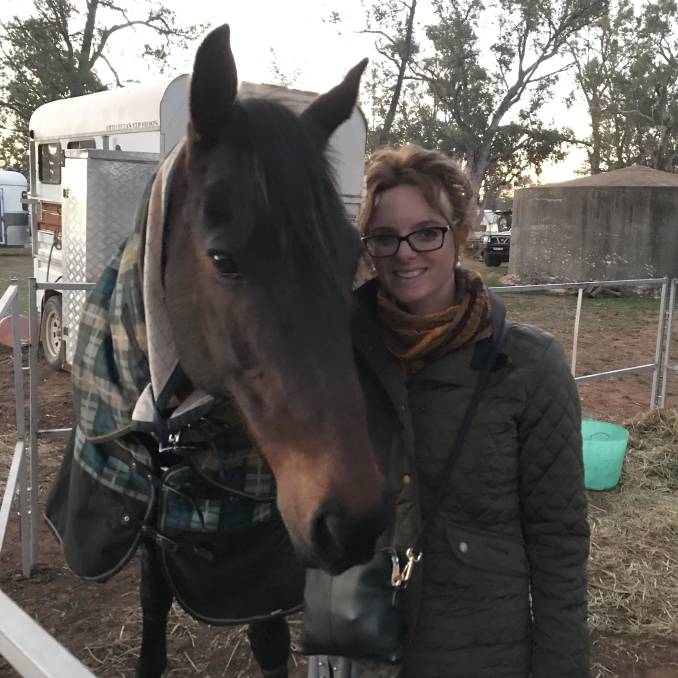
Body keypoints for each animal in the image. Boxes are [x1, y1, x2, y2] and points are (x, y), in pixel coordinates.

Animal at [47, 25, 394, 678]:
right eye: (223, 260)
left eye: (350, 256)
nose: (353, 519)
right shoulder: (150, 525)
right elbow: (153, 611)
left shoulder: (259, 567)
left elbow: (270, 641)